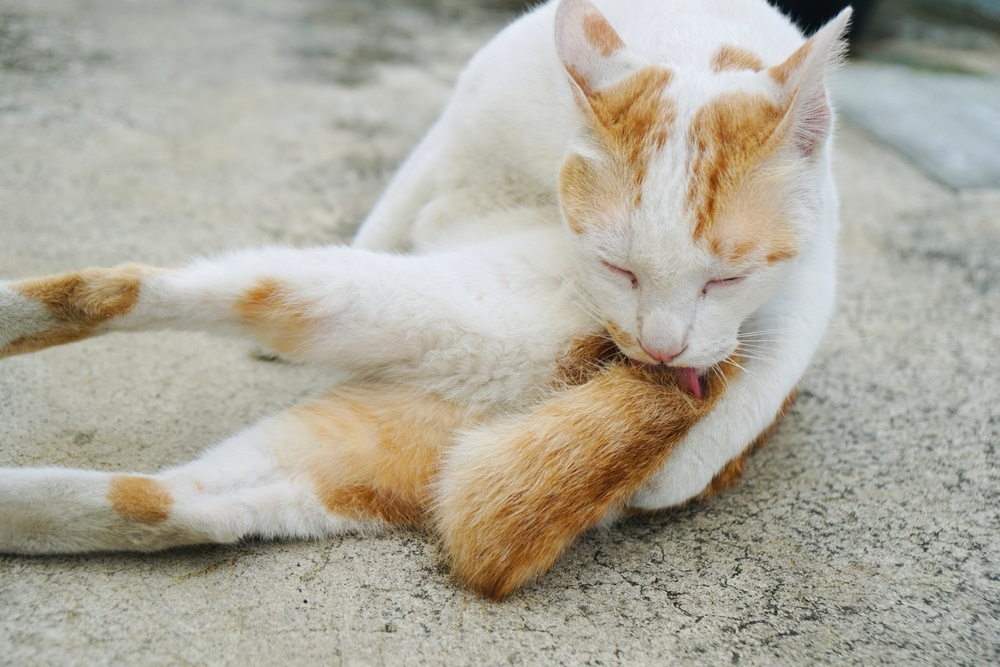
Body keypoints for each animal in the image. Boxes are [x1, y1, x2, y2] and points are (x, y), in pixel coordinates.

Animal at [0, 0, 852, 600]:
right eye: (619, 266)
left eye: (726, 280)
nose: (665, 349)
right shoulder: (450, 128)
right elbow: (394, 203)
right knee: (172, 498)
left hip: (340, 313)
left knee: (139, 331)